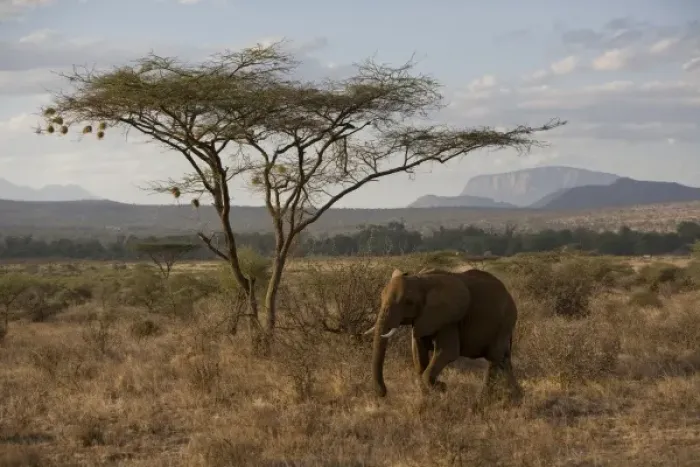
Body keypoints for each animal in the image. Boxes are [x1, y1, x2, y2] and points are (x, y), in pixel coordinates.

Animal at [364, 267, 521, 403]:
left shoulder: (449, 320)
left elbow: (447, 352)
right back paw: (515, 397)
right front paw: (428, 398)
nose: (383, 392)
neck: (422, 281)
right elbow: (418, 355)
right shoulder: (423, 318)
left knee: (495, 358)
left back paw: (486, 399)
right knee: (503, 359)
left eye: (409, 302)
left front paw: (441, 387)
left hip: (504, 323)